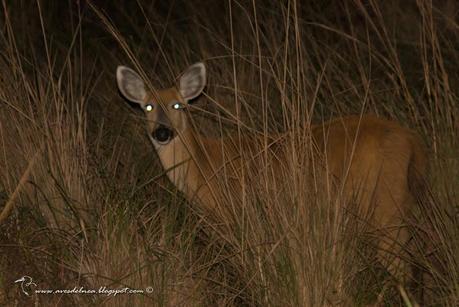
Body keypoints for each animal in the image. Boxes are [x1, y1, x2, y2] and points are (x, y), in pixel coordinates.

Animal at [115, 62, 428, 294]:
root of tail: (412, 141)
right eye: (148, 107)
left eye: (178, 105)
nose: (162, 133)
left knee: (402, 266)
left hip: (385, 203)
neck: (204, 165)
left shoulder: (233, 214)